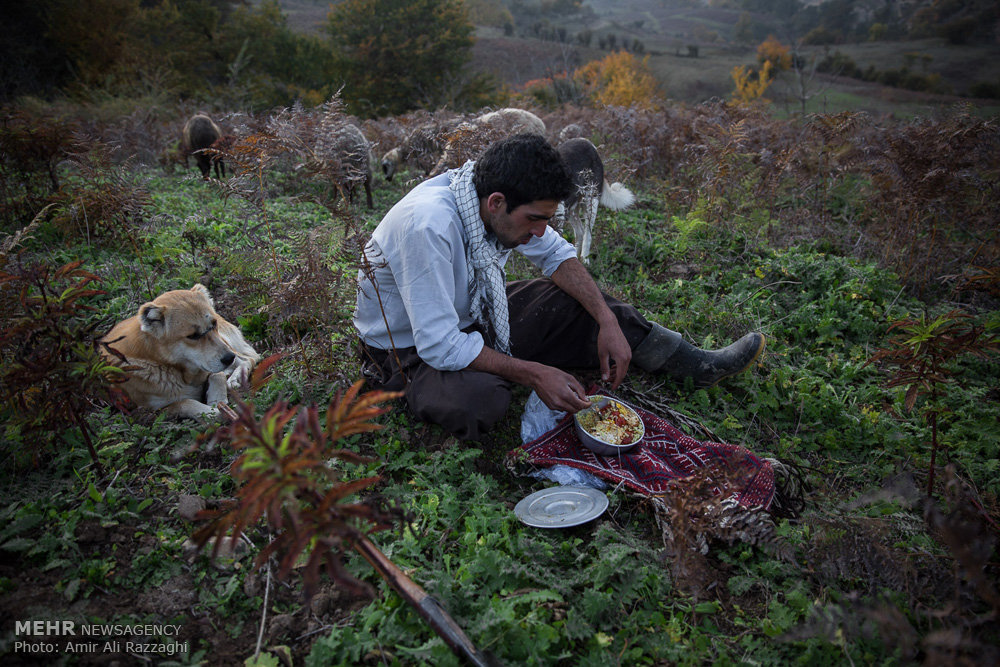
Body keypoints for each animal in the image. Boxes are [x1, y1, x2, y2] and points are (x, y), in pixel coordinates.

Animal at [100, 284, 258, 420]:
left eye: (213, 324)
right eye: (193, 336)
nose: (229, 358)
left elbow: (216, 375)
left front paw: (217, 399)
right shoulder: (153, 410)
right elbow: (185, 402)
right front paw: (213, 412)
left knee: (249, 358)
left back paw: (235, 378)